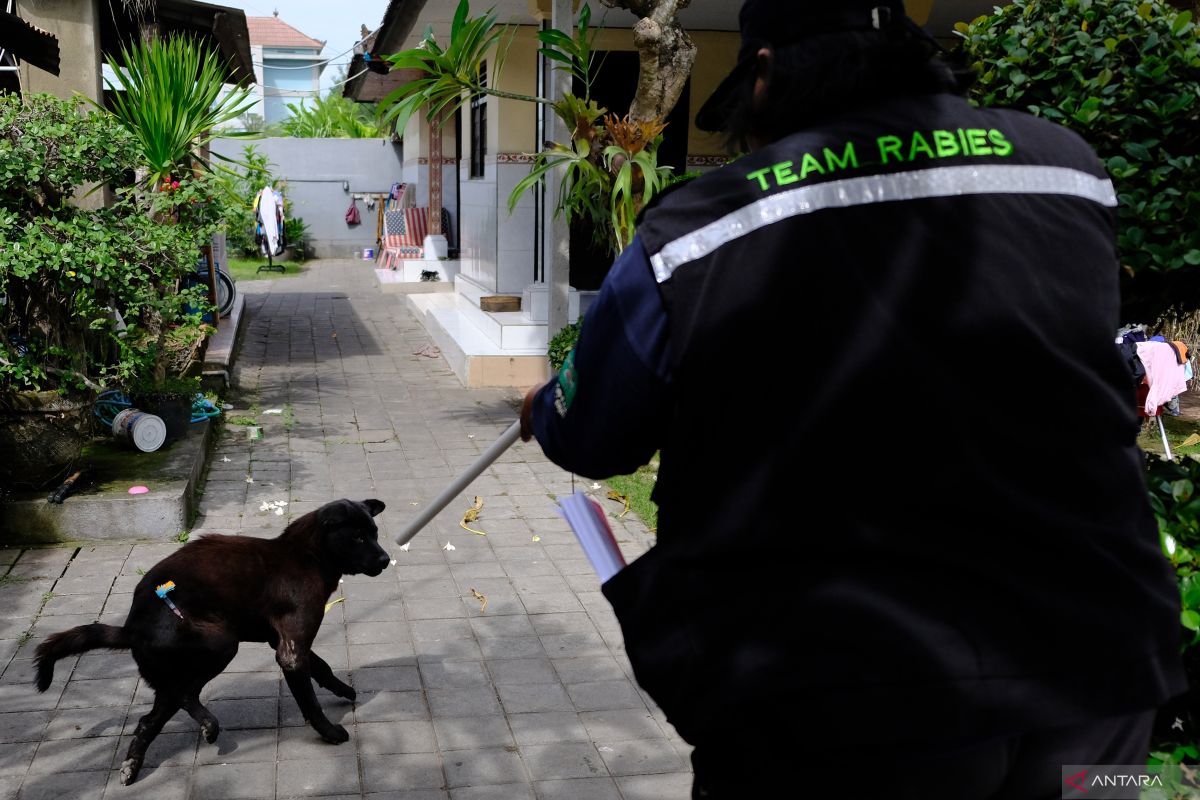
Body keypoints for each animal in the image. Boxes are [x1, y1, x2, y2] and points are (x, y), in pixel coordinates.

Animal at [34, 496, 388, 786]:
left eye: (375, 533)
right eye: (358, 537)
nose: (385, 560)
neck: (307, 556)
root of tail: (131, 626)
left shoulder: (285, 643)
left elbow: (323, 667)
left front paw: (343, 690)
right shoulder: (290, 651)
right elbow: (310, 702)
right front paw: (329, 732)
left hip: (174, 676)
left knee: (153, 717)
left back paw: (137, 763)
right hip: (221, 643)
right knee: (181, 697)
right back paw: (203, 727)